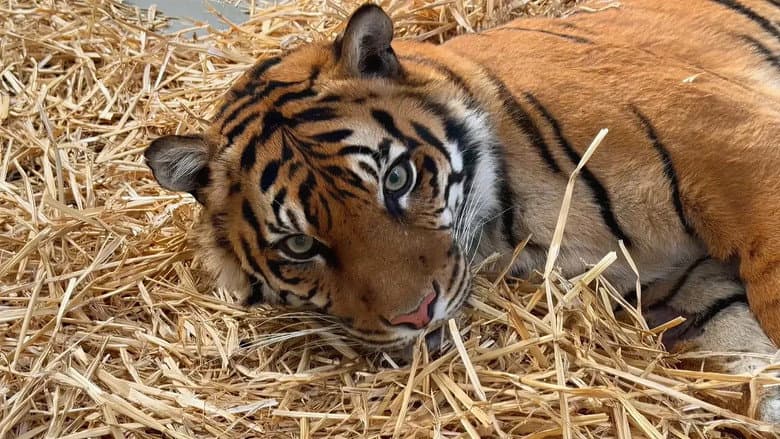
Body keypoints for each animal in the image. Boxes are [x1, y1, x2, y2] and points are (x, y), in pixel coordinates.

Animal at [143, 0, 780, 422]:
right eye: (300, 246)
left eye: (396, 178)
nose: (417, 314)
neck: (516, 224)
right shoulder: (665, 281)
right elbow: (733, 340)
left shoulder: (737, 147)